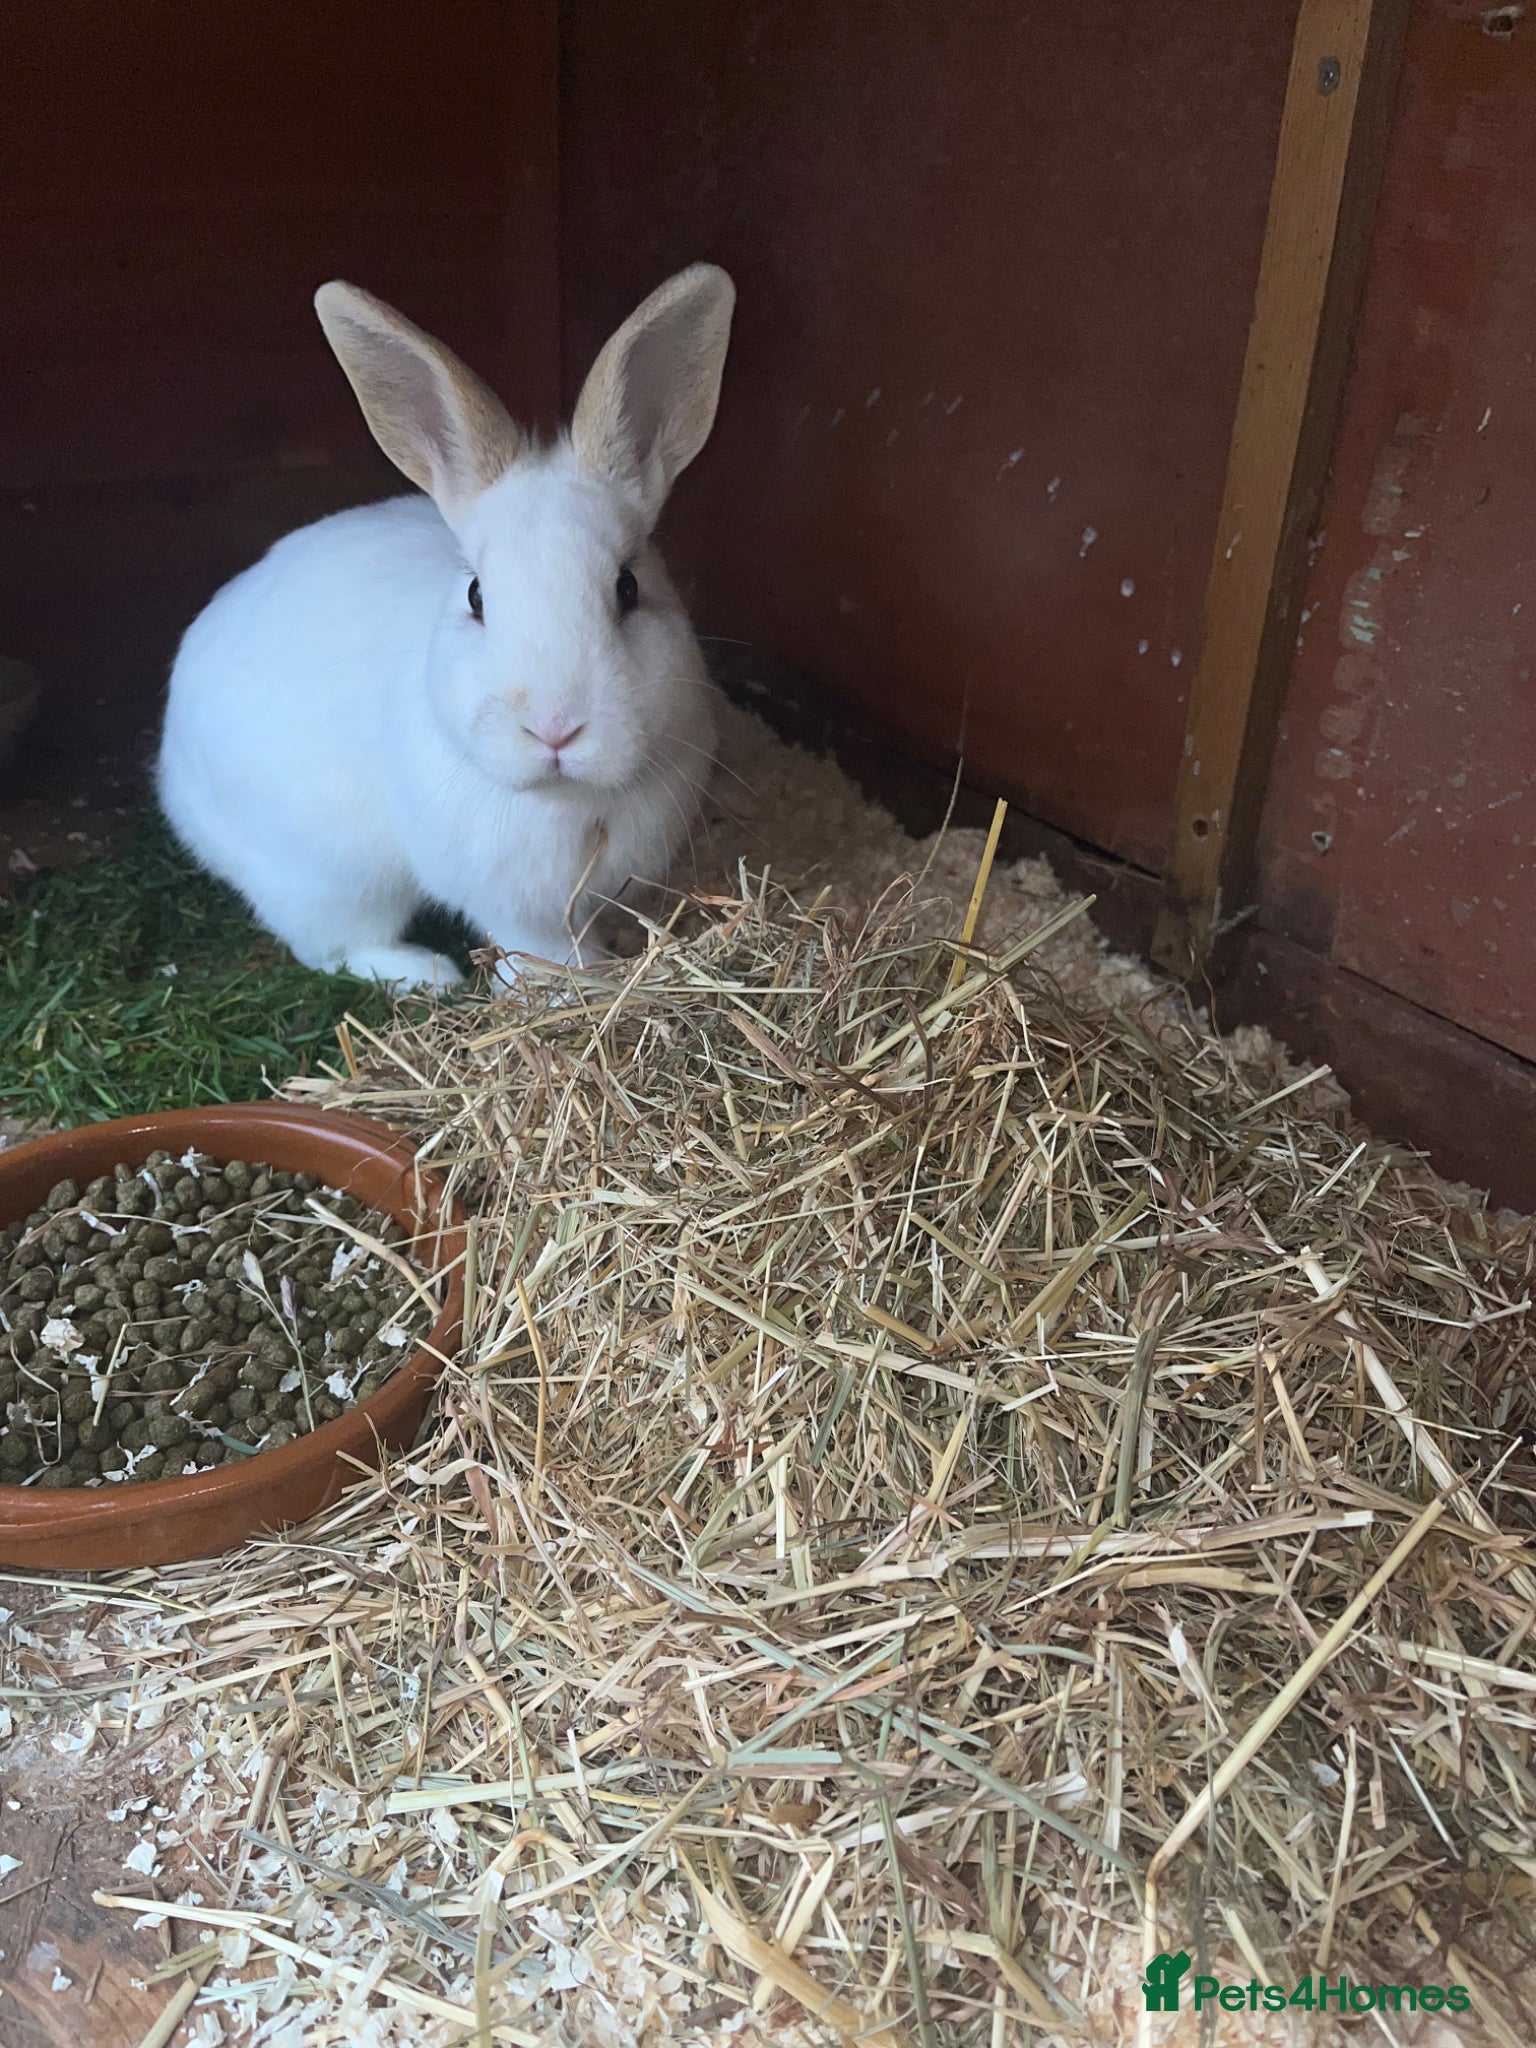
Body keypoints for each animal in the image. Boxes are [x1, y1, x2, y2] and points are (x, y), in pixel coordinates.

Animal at [157, 264, 736, 988]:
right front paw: (571, 986)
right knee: (330, 947)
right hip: (329, 879)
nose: (555, 728)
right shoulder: (510, 902)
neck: (566, 798)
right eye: (476, 595)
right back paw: (428, 973)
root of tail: (173, 773)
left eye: (628, 587)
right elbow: (541, 948)